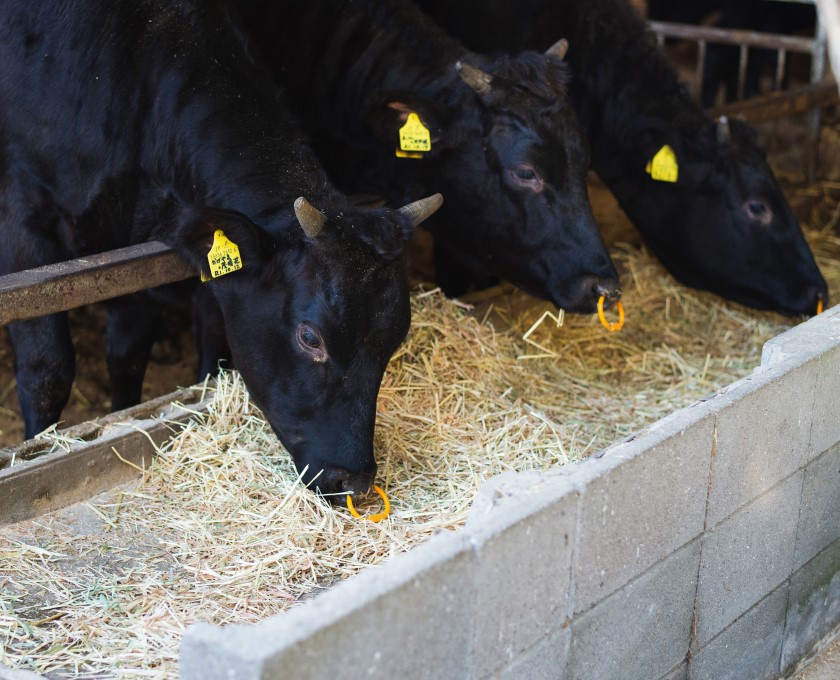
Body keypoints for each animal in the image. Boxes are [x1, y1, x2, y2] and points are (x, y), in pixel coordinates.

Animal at [0, 0, 442, 500]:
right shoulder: (24, 213)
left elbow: (129, 355)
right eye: (311, 338)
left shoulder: (135, 243)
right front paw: (36, 451)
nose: (354, 479)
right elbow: (47, 369)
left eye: (396, 338)